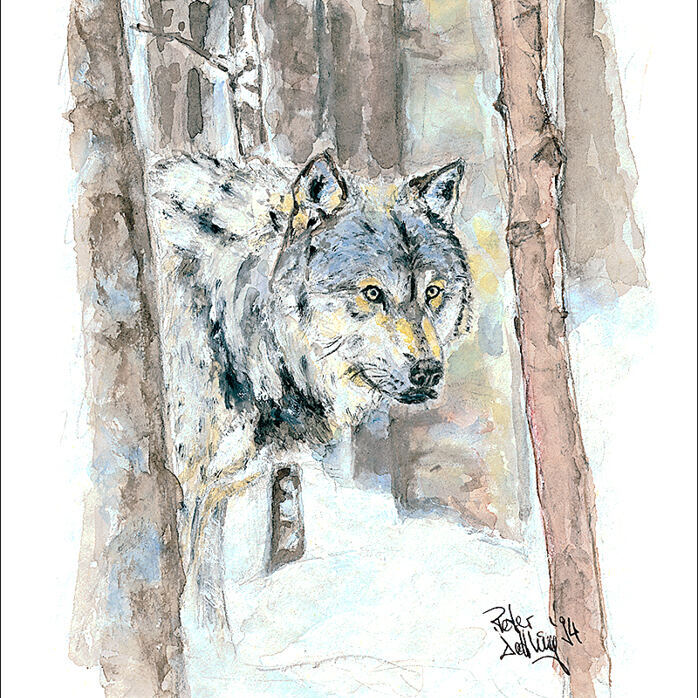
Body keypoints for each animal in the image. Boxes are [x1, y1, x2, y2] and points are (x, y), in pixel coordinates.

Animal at [147, 151, 472, 633]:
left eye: (433, 292)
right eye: (372, 293)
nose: (428, 372)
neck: (224, 314)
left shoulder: (210, 495)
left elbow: (205, 595)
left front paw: (213, 648)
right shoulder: (184, 489)